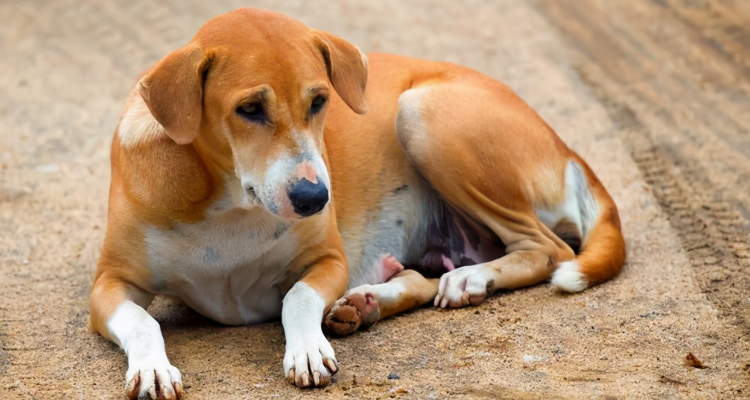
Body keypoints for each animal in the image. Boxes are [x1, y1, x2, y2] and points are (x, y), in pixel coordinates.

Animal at [89, 7, 628, 398]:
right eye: (249, 109)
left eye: (319, 101)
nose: (315, 198)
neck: (229, 202)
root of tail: (564, 145)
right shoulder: (109, 286)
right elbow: (142, 320)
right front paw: (153, 368)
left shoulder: (328, 259)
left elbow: (297, 296)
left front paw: (307, 349)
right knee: (422, 278)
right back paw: (365, 304)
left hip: (422, 113)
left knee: (549, 249)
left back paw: (466, 279)